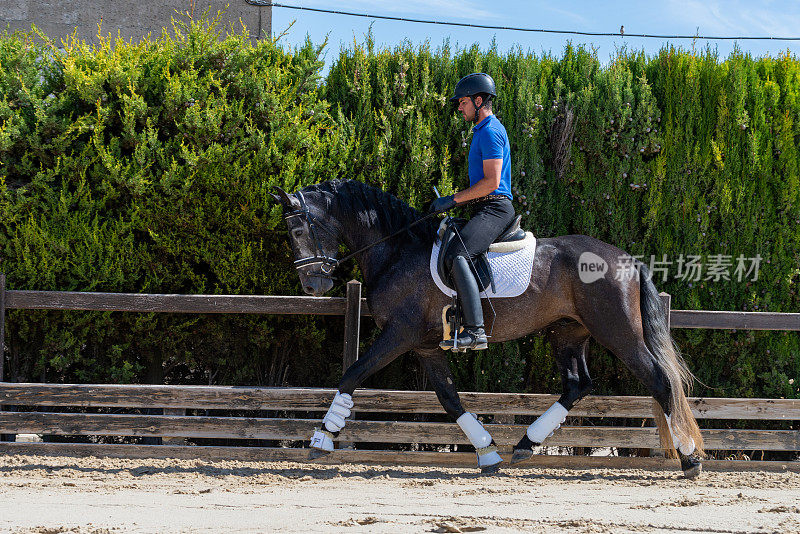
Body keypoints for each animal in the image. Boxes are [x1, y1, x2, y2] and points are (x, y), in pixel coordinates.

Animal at [272, 181, 704, 482]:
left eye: (298, 232)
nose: (312, 285)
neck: (396, 251)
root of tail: (627, 259)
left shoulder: (399, 334)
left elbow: (353, 374)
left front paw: (322, 439)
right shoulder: (426, 346)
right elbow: (449, 399)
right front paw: (487, 453)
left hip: (617, 332)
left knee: (660, 381)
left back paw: (689, 458)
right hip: (568, 332)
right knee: (578, 385)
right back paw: (525, 445)